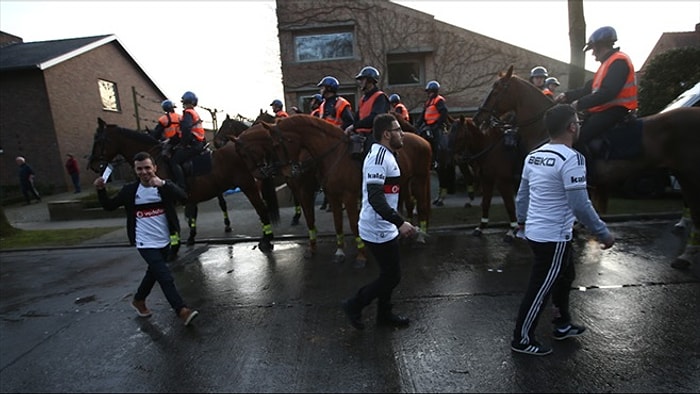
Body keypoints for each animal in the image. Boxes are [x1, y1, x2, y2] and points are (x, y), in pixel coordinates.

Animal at [89, 117, 280, 252]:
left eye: (98, 141)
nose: (92, 165)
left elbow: (174, 225)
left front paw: (173, 248)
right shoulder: (189, 197)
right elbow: (190, 216)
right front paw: (188, 239)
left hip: (248, 185)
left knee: (262, 209)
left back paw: (266, 240)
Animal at [235, 115, 432, 266]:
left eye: (277, 144)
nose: (288, 172)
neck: (332, 155)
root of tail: (422, 140)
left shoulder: (348, 196)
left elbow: (352, 224)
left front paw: (361, 256)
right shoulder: (332, 195)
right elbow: (336, 222)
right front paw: (338, 252)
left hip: (419, 179)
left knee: (421, 205)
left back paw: (421, 236)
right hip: (404, 182)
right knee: (405, 205)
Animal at [470, 65, 700, 268]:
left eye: (497, 89)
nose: (478, 118)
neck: (547, 129)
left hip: (690, 175)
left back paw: (686, 255)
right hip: (684, 176)